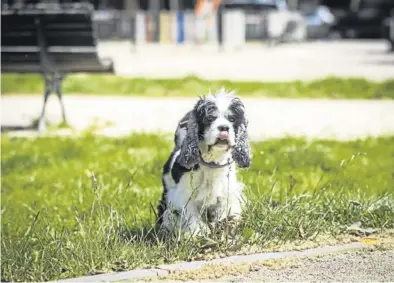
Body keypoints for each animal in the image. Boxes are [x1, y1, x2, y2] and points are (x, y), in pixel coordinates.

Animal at [156, 89, 251, 235]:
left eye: (232, 119)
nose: (224, 127)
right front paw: (198, 234)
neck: (212, 162)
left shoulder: (226, 194)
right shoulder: (185, 196)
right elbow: (192, 217)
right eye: (210, 118)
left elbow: (224, 214)